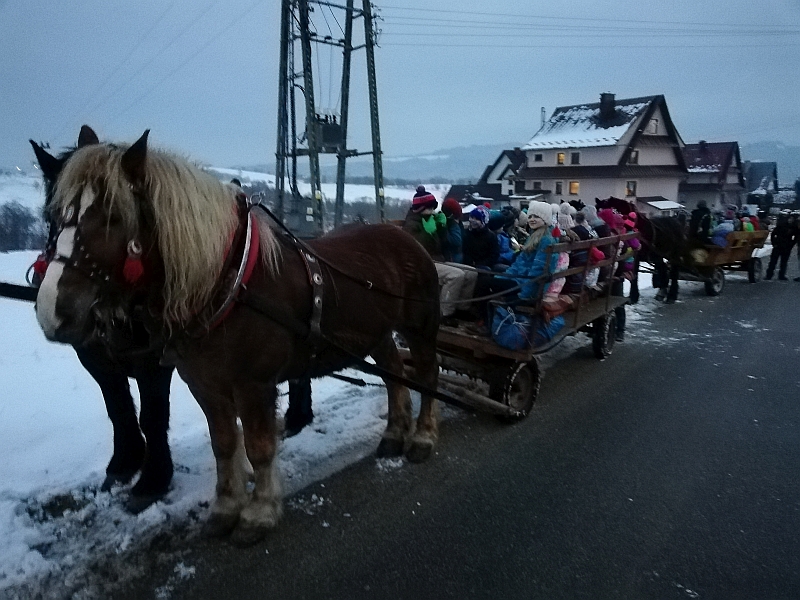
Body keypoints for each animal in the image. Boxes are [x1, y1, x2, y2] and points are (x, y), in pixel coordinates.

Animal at [34, 129, 440, 548]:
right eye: (52, 217)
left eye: (113, 217)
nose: (52, 309)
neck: (225, 282)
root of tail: (401, 233)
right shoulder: (205, 384)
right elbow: (224, 443)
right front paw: (226, 506)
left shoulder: (253, 385)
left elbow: (259, 447)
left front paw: (259, 511)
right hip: (378, 333)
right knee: (394, 372)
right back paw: (394, 433)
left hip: (421, 326)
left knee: (427, 375)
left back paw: (423, 437)